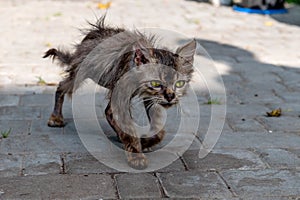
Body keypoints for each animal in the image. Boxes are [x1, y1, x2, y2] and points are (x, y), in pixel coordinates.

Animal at [43, 16, 196, 170]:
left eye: (179, 84)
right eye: (155, 84)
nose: (170, 96)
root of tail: (93, 33)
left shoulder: (151, 99)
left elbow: (159, 130)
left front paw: (145, 142)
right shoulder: (122, 99)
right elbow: (129, 129)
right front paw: (137, 156)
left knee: (107, 111)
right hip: (79, 75)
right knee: (61, 87)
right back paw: (56, 118)